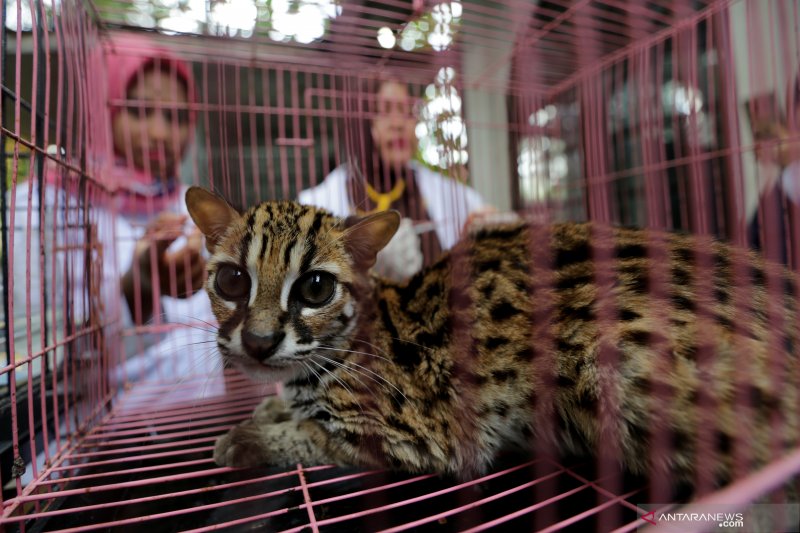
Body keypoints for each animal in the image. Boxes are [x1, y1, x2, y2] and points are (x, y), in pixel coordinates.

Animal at [184, 185, 796, 488]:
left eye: (315, 288)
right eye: (232, 280)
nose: (259, 341)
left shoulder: (424, 434)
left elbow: (314, 436)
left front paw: (252, 438)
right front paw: (266, 410)